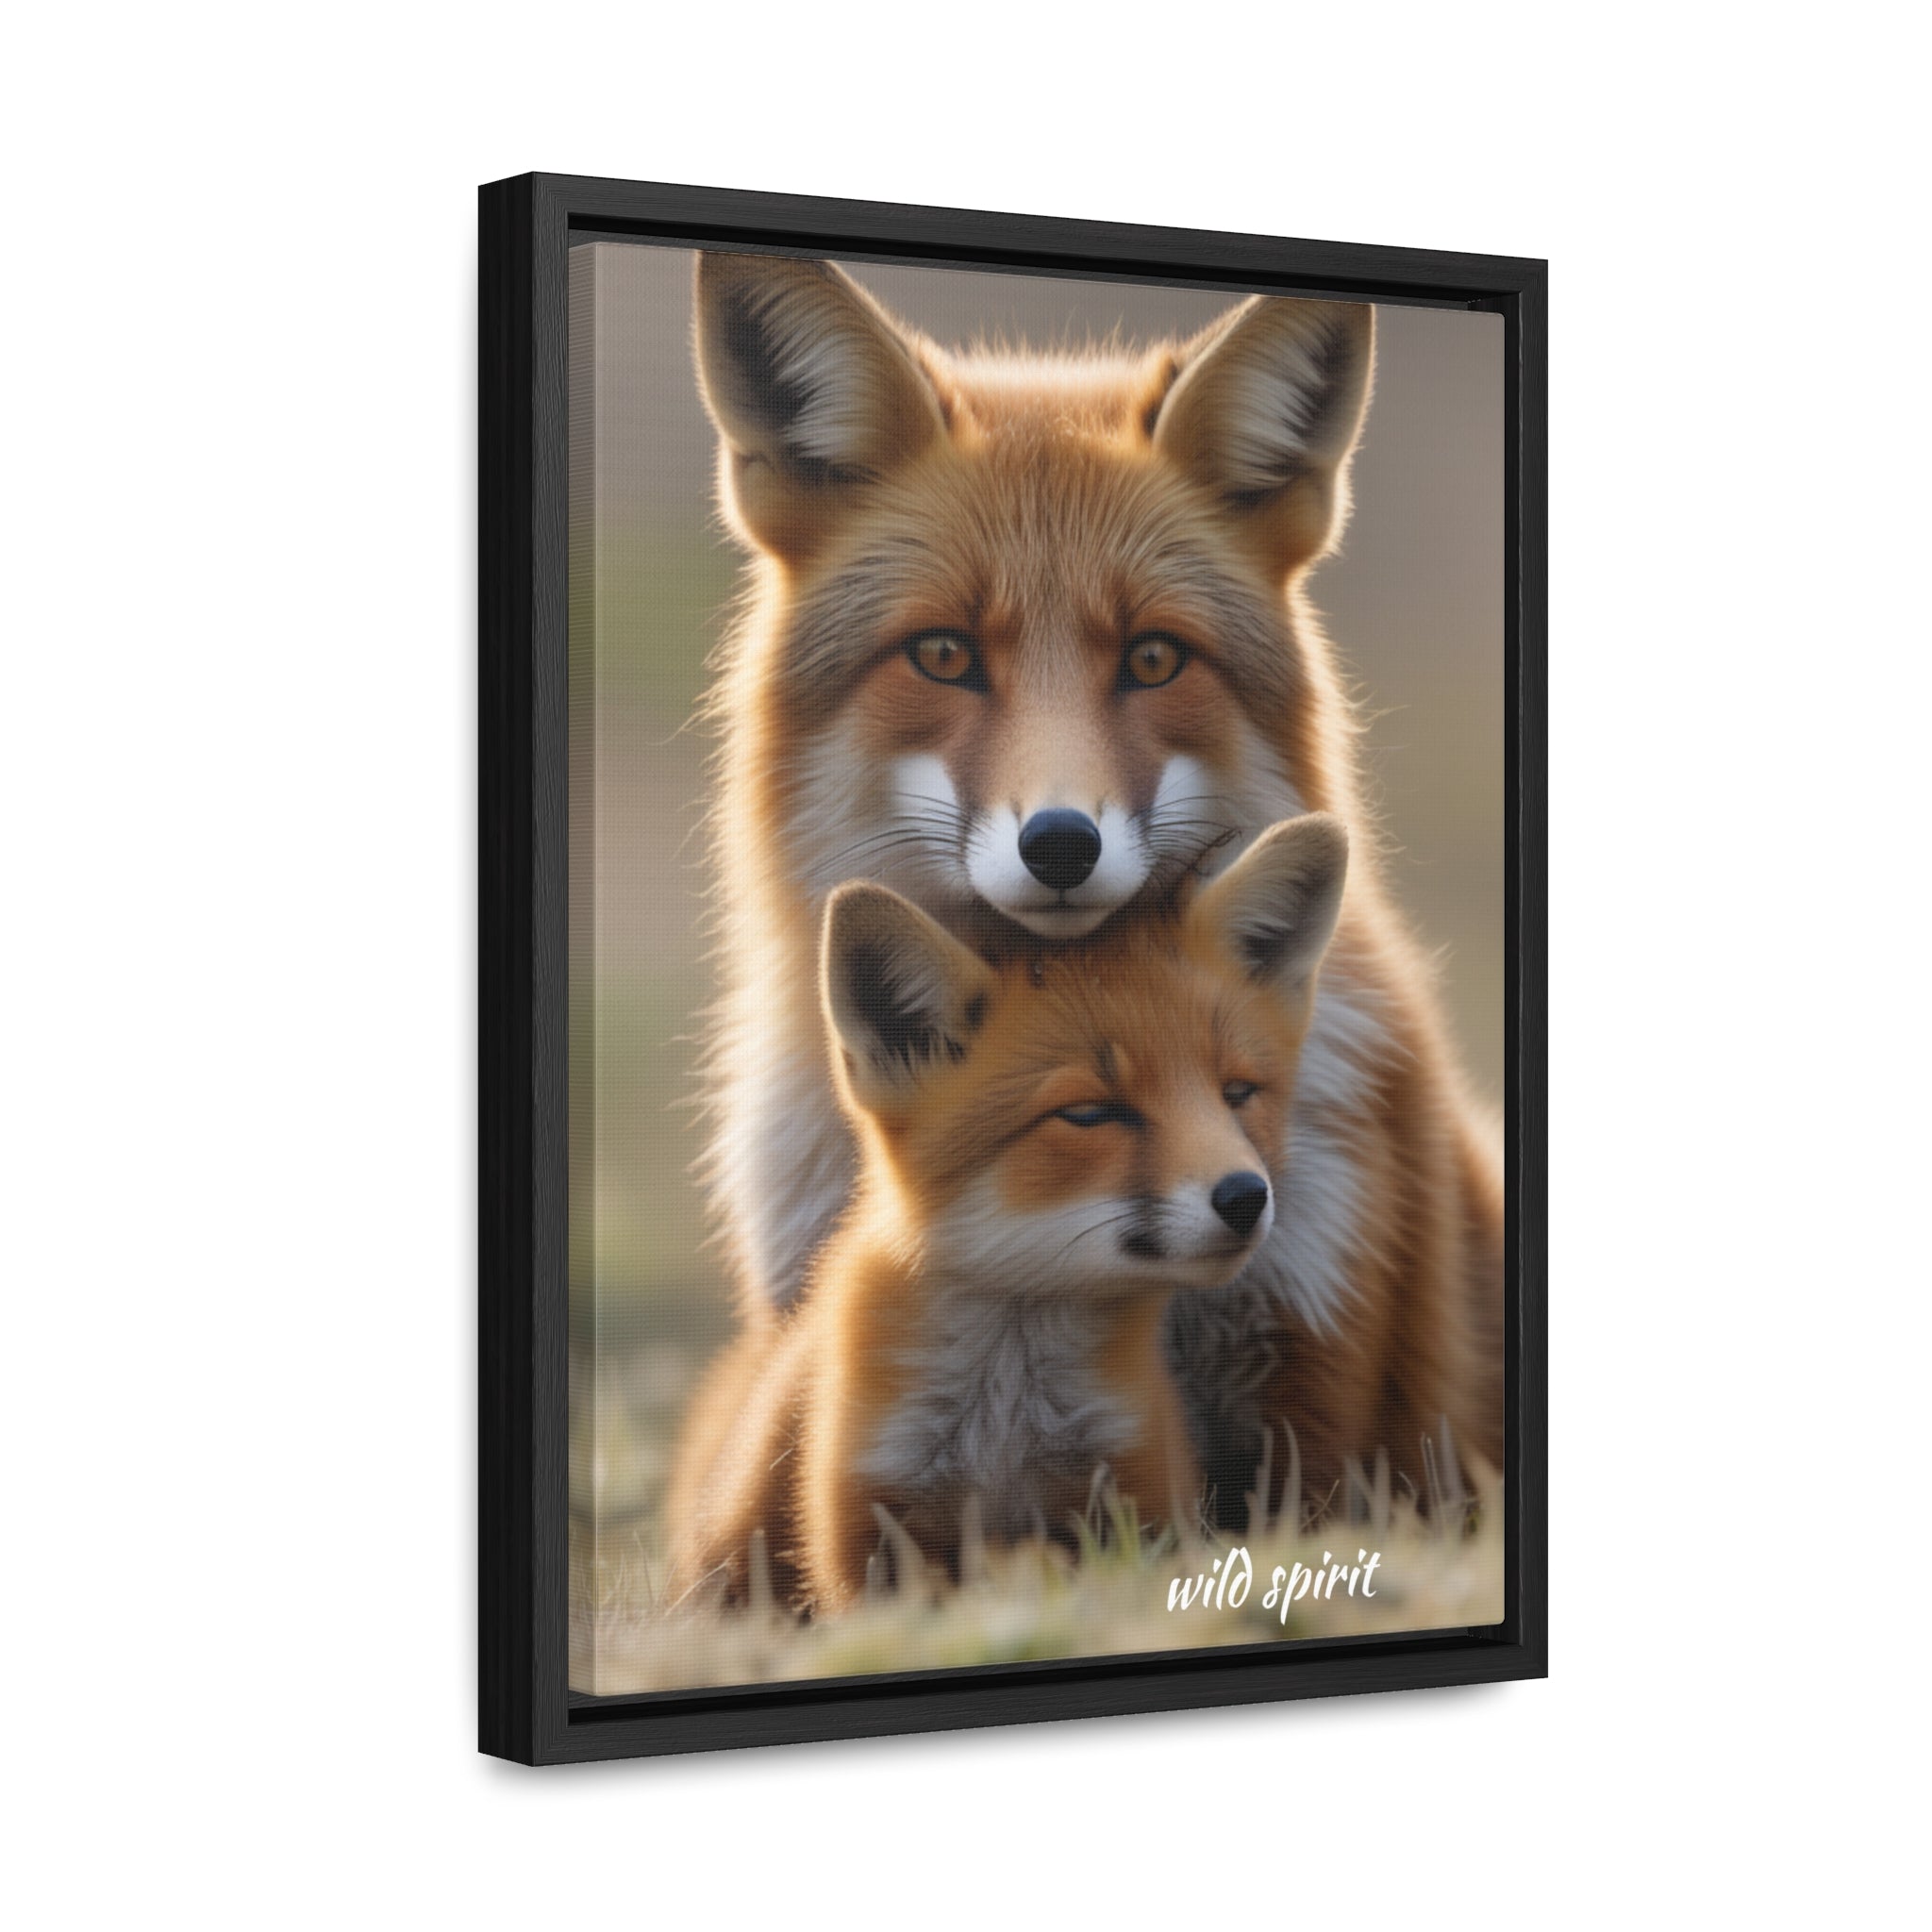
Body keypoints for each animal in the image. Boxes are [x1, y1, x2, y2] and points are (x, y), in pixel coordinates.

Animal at [667, 817, 1349, 1611]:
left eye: (1237, 1094)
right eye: (1089, 1113)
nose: (1245, 1196)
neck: (1006, 1422)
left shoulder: (1136, 1493)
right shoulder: (867, 1528)